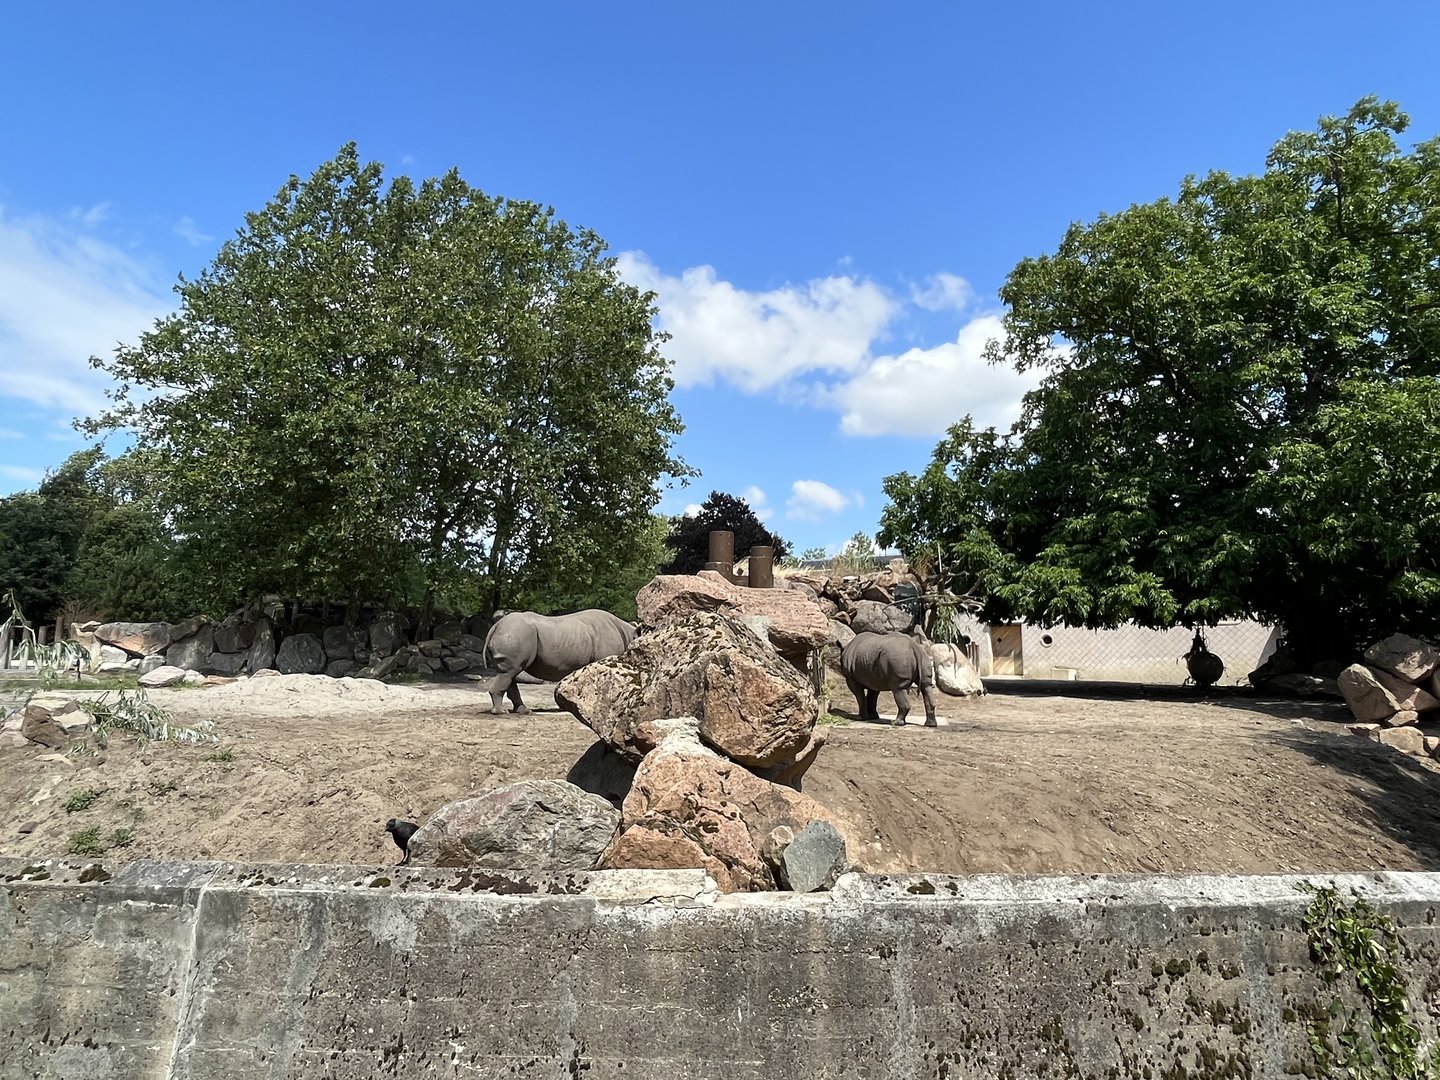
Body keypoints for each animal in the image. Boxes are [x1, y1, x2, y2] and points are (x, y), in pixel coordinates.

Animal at [483, 609, 636, 715]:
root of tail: (495, 626)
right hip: (516, 632)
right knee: (508, 673)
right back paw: (501, 712)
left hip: (513, 633)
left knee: (510, 674)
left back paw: (523, 711)